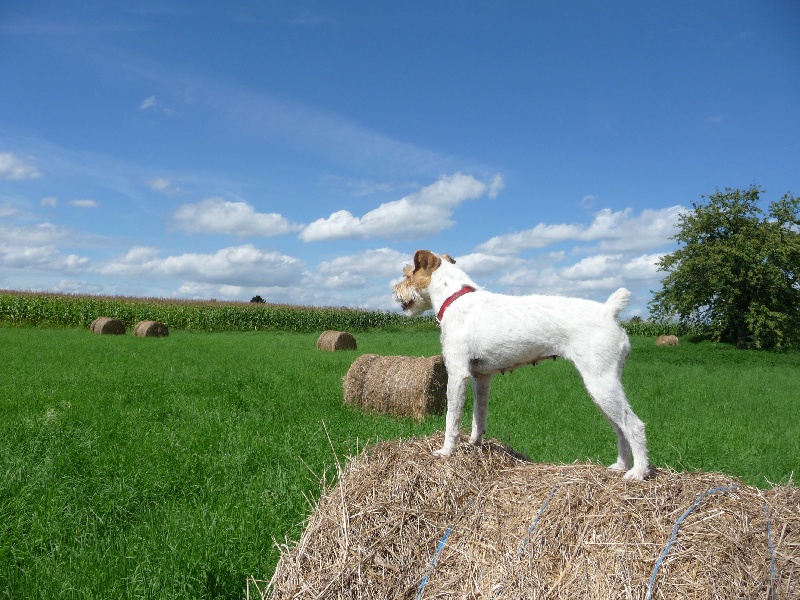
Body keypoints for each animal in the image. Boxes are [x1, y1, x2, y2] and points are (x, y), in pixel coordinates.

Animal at [394, 251, 648, 480]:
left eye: (407, 274)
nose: (395, 289)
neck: (455, 298)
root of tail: (608, 310)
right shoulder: (481, 378)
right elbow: (479, 415)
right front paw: (474, 444)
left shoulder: (457, 374)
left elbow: (451, 419)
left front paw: (446, 451)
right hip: (603, 390)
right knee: (620, 428)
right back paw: (620, 466)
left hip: (601, 383)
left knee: (634, 426)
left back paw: (638, 473)